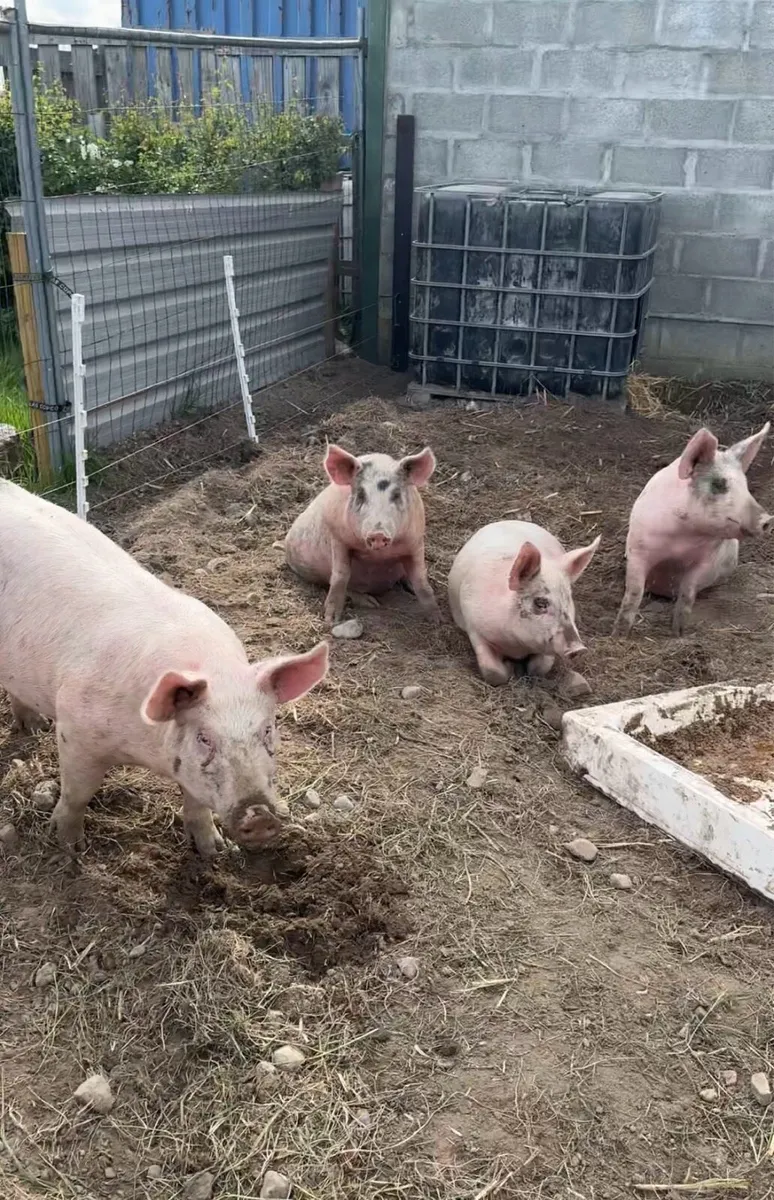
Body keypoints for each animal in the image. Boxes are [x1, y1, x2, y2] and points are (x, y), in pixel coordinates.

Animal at [0, 480, 329, 857]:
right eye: (204, 738)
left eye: (268, 729)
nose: (259, 815)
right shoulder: (75, 731)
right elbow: (76, 794)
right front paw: (69, 847)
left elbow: (197, 805)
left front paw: (214, 850)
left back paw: (35, 727)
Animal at [284, 442, 441, 625]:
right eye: (361, 495)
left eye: (396, 495)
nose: (378, 533)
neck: (378, 557)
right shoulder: (338, 538)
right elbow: (340, 576)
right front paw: (331, 620)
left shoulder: (415, 542)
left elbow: (421, 581)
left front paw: (437, 619)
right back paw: (371, 603)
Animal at [448, 520, 601, 696]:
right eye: (540, 602)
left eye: (568, 598)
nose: (579, 648)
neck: (516, 645)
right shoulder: (475, 629)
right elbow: (492, 671)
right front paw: (509, 668)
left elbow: (540, 668)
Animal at [613, 422, 771, 637]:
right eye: (718, 484)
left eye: (746, 487)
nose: (768, 519)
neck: (682, 539)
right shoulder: (638, 549)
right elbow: (634, 593)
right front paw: (618, 635)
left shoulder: (707, 560)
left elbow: (687, 594)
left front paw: (678, 634)